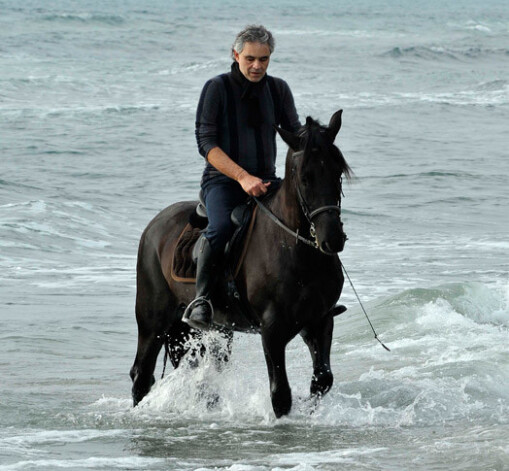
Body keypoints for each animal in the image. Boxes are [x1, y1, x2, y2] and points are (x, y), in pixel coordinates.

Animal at [131, 109, 352, 418]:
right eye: (305, 178)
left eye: (338, 173)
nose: (332, 239)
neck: (293, 248)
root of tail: (153, 226)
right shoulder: (272, 330)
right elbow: (280, 395)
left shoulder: (319, 322)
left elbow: (322, 380)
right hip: (153, 322)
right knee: (141, 374)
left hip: (215, 330)